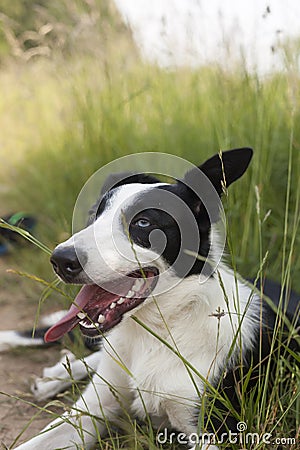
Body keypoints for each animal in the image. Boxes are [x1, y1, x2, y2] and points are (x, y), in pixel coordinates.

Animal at [13, 149, 298, 448]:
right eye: (93, 216)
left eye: (143, 222)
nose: (60, 260)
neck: (159, 330)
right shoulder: (88, 412)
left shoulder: (214, 430)